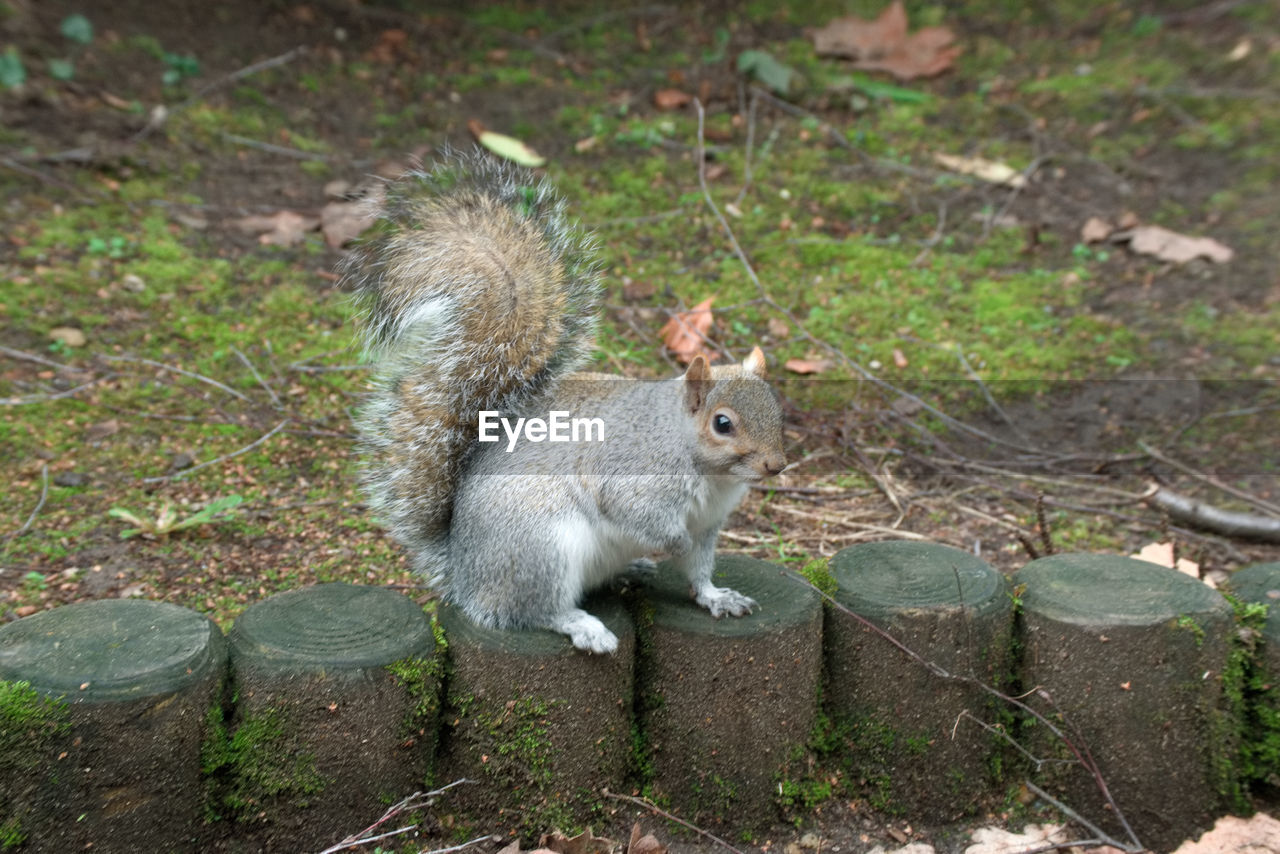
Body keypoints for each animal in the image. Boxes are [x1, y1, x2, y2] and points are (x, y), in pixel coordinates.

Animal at [340, 150, 783, 655]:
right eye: (722, 423)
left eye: (778, 408)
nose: (776, 465)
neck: (710, 473)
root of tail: (464, 575)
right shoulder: (634, 477)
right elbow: (641, 517)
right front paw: (672, 546)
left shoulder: (708, 524)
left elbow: (701, 572)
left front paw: (717, 596)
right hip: (541, 547)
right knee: (532, 610)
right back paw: (582, 624)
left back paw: (631, 568)